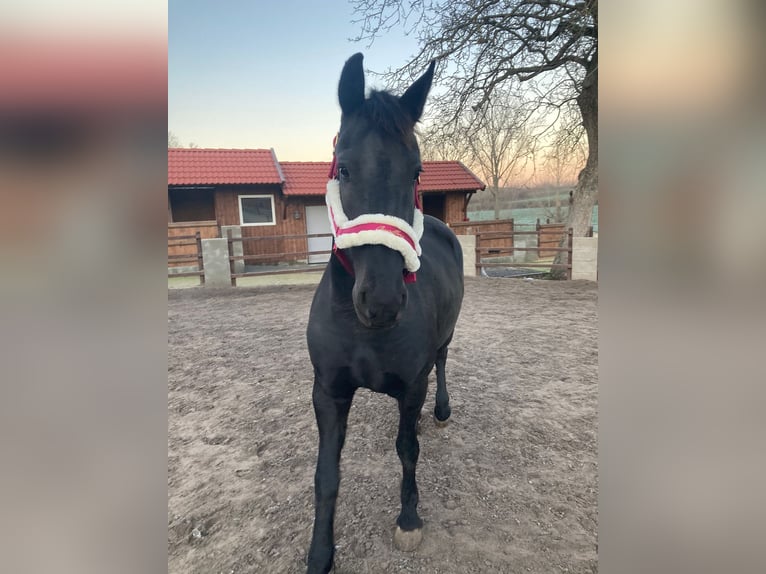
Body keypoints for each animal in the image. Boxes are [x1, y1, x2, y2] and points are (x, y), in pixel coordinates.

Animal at [305, 53, 464, 574]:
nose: (382, 301)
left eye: (416, 171)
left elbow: (407, 449)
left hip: (445, 341)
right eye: (345, 169)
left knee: (442, 361)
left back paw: (443, 410)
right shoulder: (328, 393)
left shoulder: (411, 388)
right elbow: (327, 473)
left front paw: (409, 521)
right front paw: (319, 553)